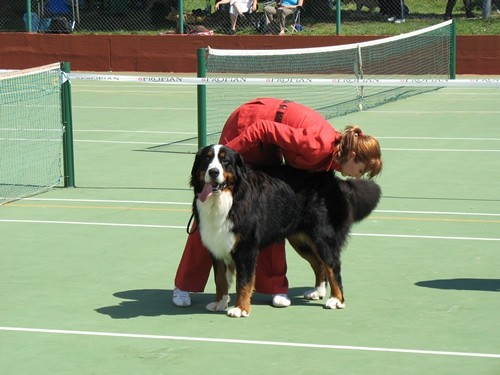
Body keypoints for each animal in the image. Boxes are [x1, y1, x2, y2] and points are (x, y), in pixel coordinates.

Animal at [189, 145, 380, 318]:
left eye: (225, 161)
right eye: (207, 159)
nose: (214, 172)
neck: (227, 200)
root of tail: (334, 181)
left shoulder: (246, 249)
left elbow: (243, 282)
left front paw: (241, 308)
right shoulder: (216, 245)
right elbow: (220, 280)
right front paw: (220, 303)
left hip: (323, 238)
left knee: (333, 266)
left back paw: (336, 300)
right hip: (301, 241)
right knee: (319, 264)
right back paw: (317, 291)